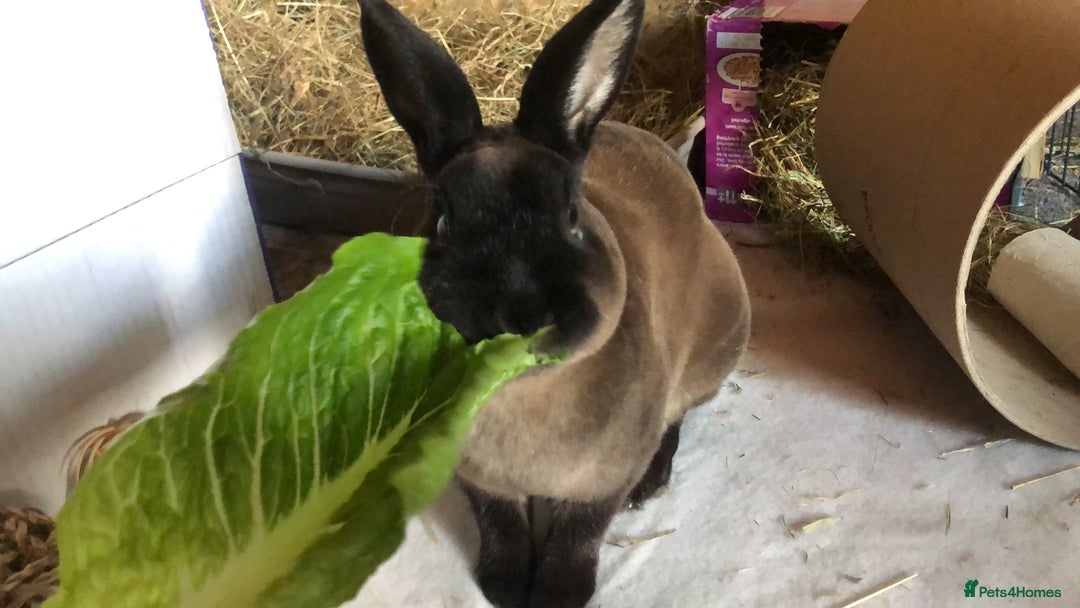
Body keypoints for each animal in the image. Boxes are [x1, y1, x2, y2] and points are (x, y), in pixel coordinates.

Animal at [358, 0, 751, 606]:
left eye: (570, 215)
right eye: (442, 222)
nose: (518, 316)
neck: (523, 393)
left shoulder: (603, 479)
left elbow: (579, 531)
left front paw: (559, 594)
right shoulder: (479, 482)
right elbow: (500, 522)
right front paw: (501, 584)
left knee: (678, 417)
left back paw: (651, 483)